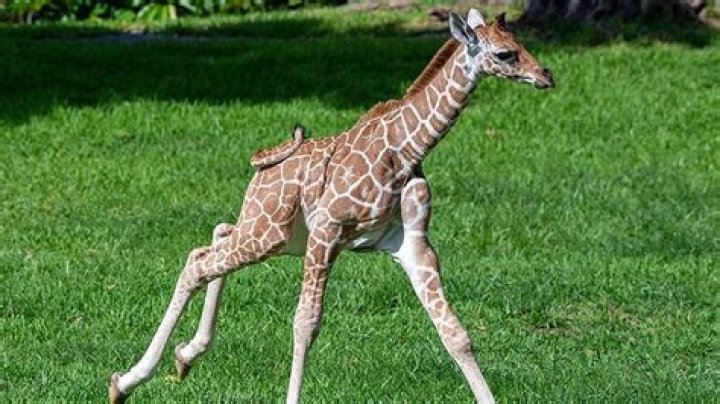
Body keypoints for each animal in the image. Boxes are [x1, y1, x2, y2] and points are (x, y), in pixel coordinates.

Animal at [109, 9, 554, 404]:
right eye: (505, 54)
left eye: (522, 44)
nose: (546, 76)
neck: (406, 149)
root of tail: (263, 166)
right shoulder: (328, 230)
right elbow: (305, 322)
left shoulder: (412, 243)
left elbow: (455, 332)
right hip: (270, 232)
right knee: (198, 263)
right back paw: (124, 383)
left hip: (278, 234)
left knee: (215, 238)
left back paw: (184, 358)